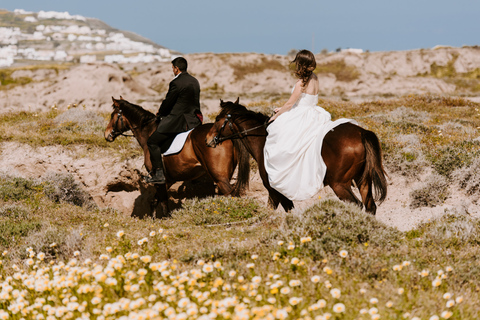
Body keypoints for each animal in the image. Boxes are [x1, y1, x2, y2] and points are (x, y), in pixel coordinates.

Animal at [103, 97, 249, 218]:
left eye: (112, 115)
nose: (107, 135)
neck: (149, 133)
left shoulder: (159, 179)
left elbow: (162, 201)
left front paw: (164, 218)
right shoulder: (169, 179)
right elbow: (155, 200)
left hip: (220, 177)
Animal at [204, 99, 388, 215]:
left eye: (217, 119)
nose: (208, 139)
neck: (264, 140)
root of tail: (361, 132)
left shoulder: (274, 191)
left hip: (339, 184)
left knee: (357, 205)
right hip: (362, 180)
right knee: (370, 207)